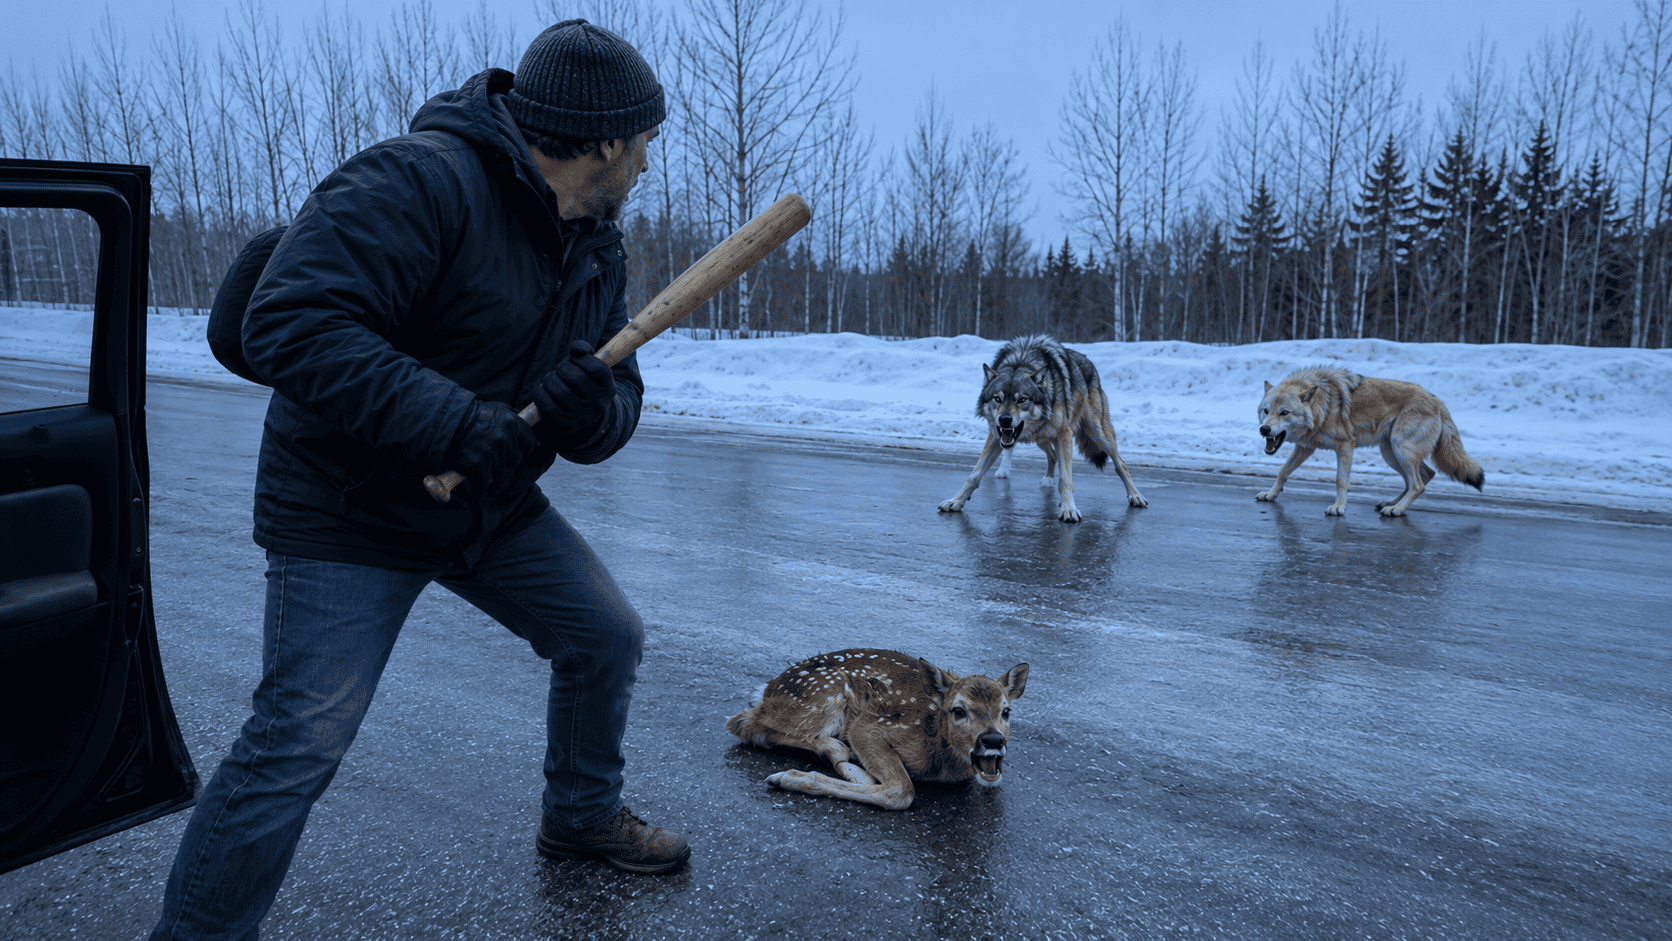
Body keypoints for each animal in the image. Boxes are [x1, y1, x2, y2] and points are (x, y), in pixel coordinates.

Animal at [727, 648, 1029, 810]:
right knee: (744, 722)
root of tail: (768, 687)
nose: (992, 739)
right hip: (825, 696)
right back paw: (840, 755)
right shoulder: (869, 727)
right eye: (958, 710)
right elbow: (901, 791)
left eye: (1006, 711)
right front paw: (789, 778)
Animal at [938, 335, 1147, 523]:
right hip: (1042, 438)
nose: (1004, 420)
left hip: (1097, 432)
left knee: (1120, 463)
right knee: (1053, 455)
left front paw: (1069, 509)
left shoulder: (1064, 434)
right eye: (997, 398)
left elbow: (1066, 479)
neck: (1022, 361)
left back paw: (1135, 496)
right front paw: (955, 501)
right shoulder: (996, 436)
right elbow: (974, 475)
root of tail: (1089, 363)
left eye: (1022, 399)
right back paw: (1046, 480)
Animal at [1256, 365, 1485, 516]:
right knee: (1424, 476)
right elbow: (1283, 471)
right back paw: (1389, 503)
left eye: (1284, 413)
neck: (1322, 406)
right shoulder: (1305, 448)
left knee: (1418, 484)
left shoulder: (1345, 446)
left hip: (1400, 450)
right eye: (1266, 411)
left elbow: (1341, 480)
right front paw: (1271, 494)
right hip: (1391, 454)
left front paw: (1338, 507)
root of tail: (1438, 401)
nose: (1264, 429)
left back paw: (1395, 510)